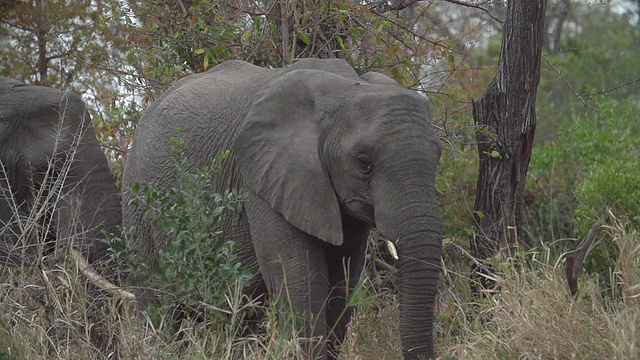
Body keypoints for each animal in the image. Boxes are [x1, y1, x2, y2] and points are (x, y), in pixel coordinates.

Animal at [124, 57, 444, 358]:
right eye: (364, 164)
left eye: (438, 157)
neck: (344, 88)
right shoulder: (261, 182)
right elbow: (302, 282)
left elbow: (342, 285)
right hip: (139, 205)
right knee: (160, 308)